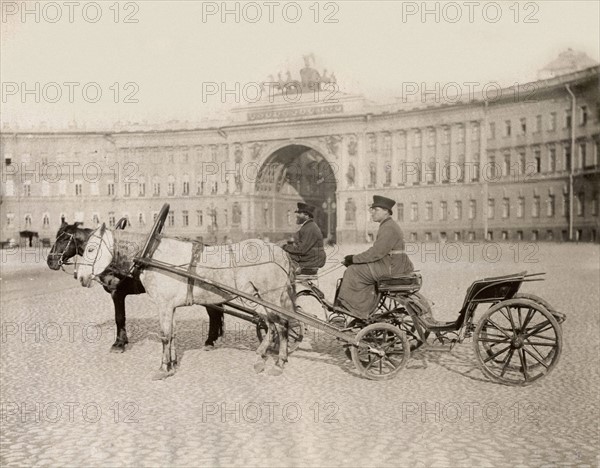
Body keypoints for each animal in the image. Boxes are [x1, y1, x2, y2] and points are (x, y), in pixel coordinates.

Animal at [47, 221, 225, 352]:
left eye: (63, 239)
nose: (50, 261)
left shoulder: (117, 293)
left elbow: (119, 317)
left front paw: (119, 343)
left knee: (214, 313)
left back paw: (210, 340)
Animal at [76, 223, 296, 380]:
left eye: (91, 249)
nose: (80, 276)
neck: (152, 255)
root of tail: (282, 252)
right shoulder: (171, 306)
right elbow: (172, 335)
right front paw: (172, 365)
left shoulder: (164, 305)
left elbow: (165, 336)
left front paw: (162, 368)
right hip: (262, 298)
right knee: (272, 325)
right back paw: (263, 357)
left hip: (270, 297)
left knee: (282, 325)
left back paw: (279, 363)